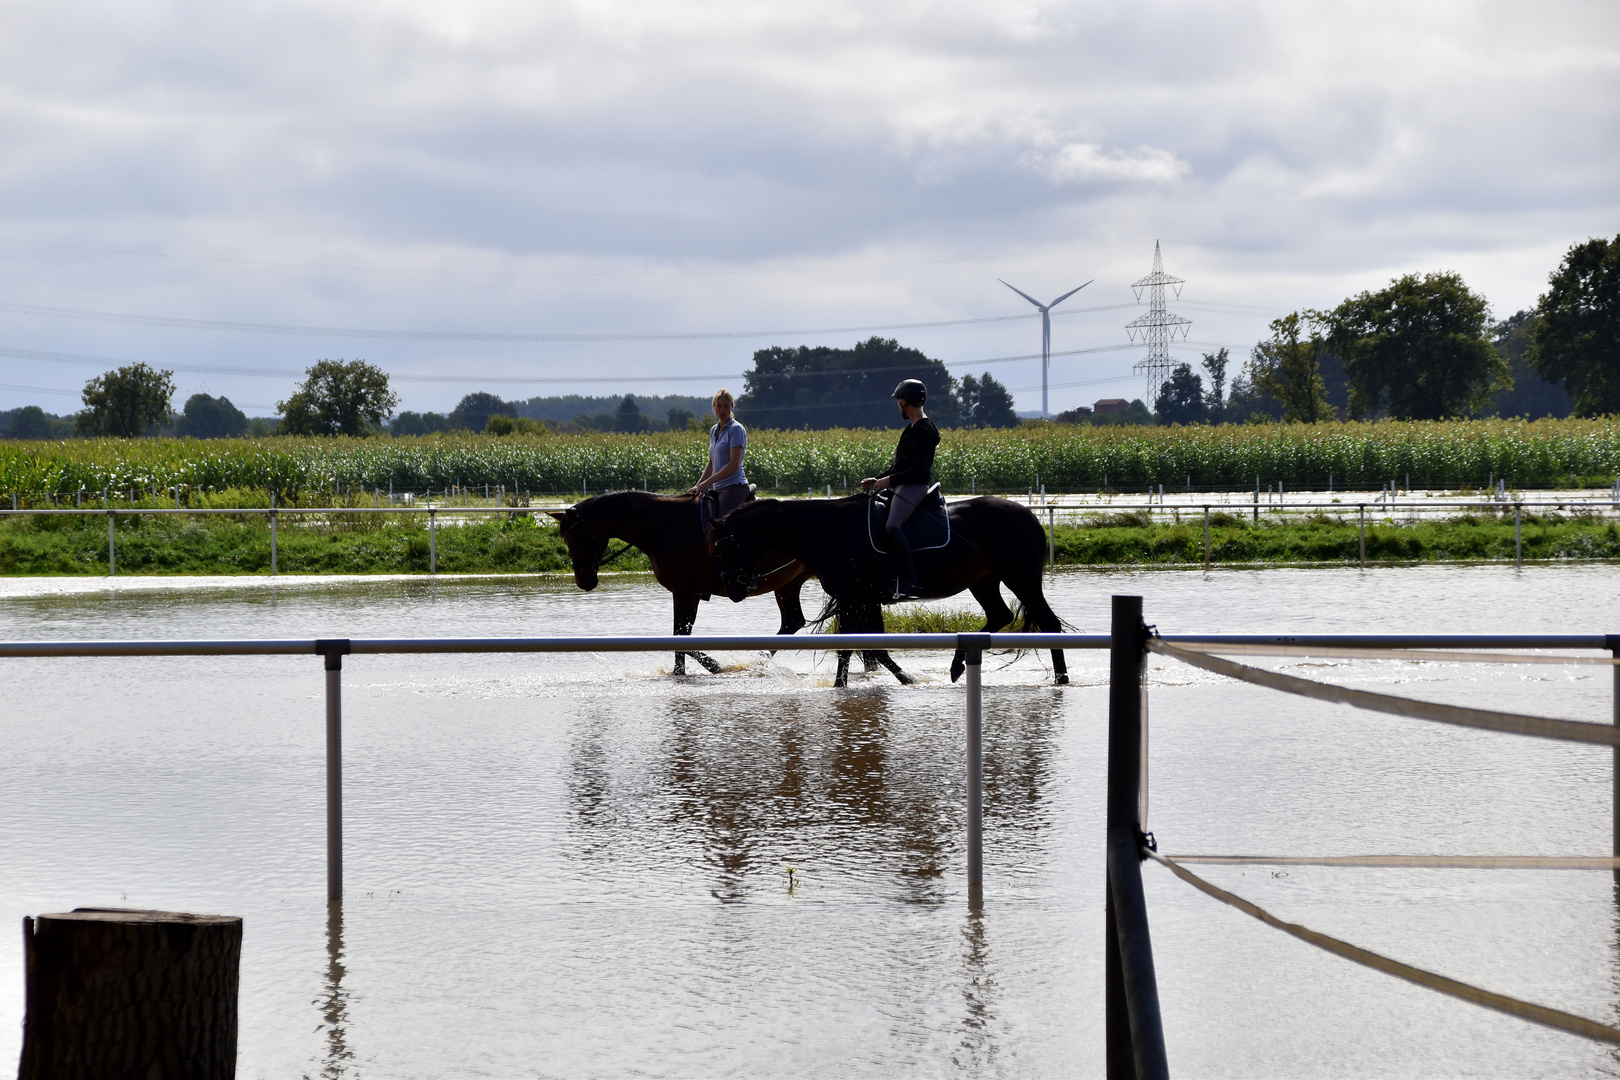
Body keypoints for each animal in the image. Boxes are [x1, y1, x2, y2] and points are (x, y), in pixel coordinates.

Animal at [547, 488, 816, 676]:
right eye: (566, 540)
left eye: (576, 538)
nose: (584, 581)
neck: (663, 527)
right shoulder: (686, 593)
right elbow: (681, 635)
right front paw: (685, 670)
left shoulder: (685, 591)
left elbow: (679, 634)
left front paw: (710, 665)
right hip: (789, 582)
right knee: (792, 621)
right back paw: (757, 662)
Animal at [716, 495, 1069, 689]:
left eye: (726, 545)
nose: (732, 587)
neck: (828, 532)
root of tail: (1029, 516)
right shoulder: (863, 600)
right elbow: (874, 648)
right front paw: (905, 679)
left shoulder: (852, 597)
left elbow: (848, 647)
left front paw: (839, 685)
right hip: (984, 581)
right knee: (1000, 615)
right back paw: (957, 665)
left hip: (1021, 579)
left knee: (1050, 624)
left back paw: (1062, 678)